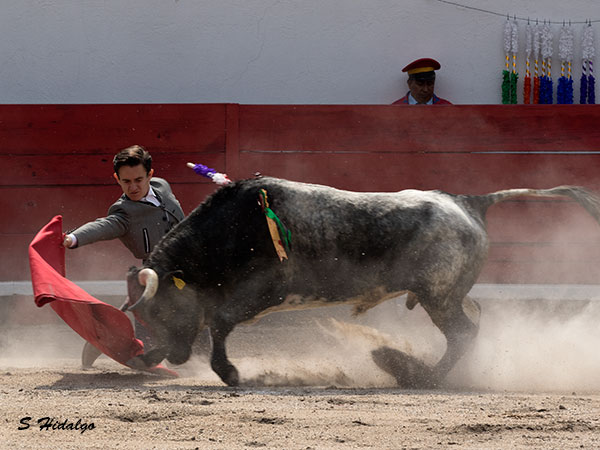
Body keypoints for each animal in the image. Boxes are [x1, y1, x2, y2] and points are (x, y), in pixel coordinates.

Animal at [124, 177, 600, 386]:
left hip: (438, 296)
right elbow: (213, 321)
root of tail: (468, 201)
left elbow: (219, 323)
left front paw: (231, 373)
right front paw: (154, 357)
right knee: (474, 321)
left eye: (162, 308)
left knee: (462, 333)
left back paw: (415, 376)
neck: (234, 227)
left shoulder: (264, 292)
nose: (174, 356)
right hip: (448, 295)